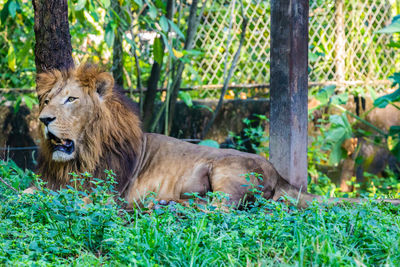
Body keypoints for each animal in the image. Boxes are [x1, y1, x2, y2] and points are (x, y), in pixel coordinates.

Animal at [29, 64, 400, 209]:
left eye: (71, 100)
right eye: (46, 101)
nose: (44, 119)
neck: (80, 155)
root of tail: (280, 174)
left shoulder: (103, 190)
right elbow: (30, 190)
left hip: (222, 170)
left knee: (222, 206)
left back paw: (166, 205)